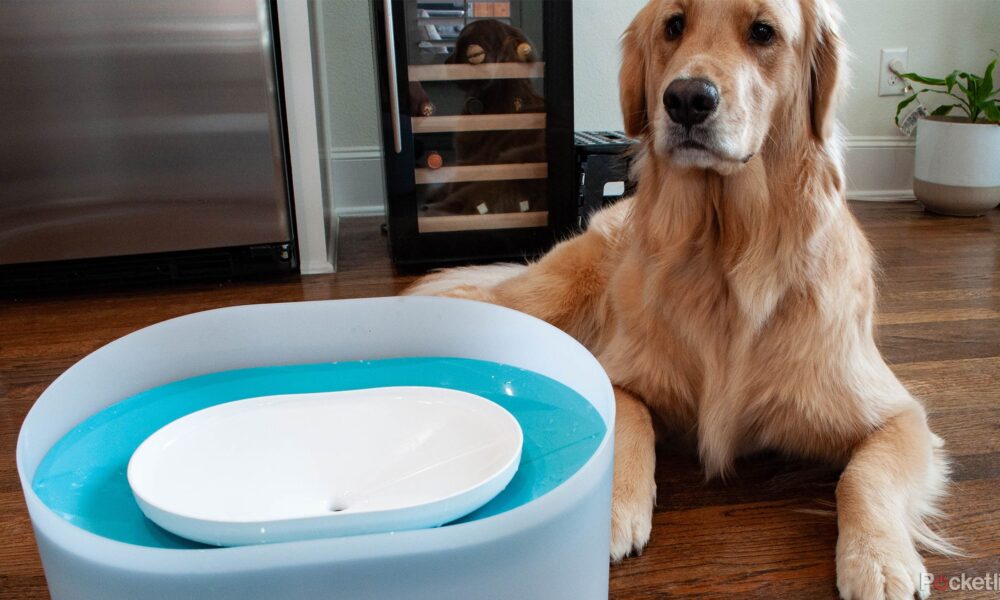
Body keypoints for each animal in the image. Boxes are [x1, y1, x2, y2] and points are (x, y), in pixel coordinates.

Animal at [402, 2, 948, 596]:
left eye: (763, 32)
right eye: (673, 26)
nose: (687, 99)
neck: (725, 252)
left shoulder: (899, 415)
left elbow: (864, 476)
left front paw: (878, 559)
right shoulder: (618, 372)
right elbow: (630, 423)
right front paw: (614, 509)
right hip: (551, 296)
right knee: (476, 298)